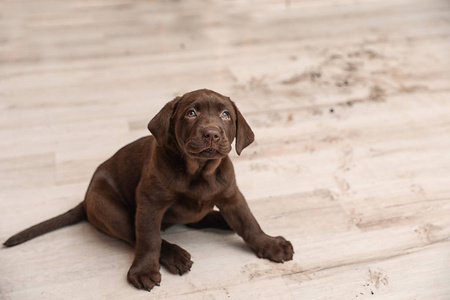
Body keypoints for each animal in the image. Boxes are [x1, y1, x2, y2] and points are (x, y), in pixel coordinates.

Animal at [3, 88, 294, 290]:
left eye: (225, 115)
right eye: (191, 113)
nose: (211, 133)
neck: (198, 171)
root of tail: (85, 201)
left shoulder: (232, 196)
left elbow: (249, 224)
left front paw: (270, 245)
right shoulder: (150, 203)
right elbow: (148, 238)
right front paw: (144, 271)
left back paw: (220, 220)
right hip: (109, 209)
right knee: (137, 234)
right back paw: (175, 254)